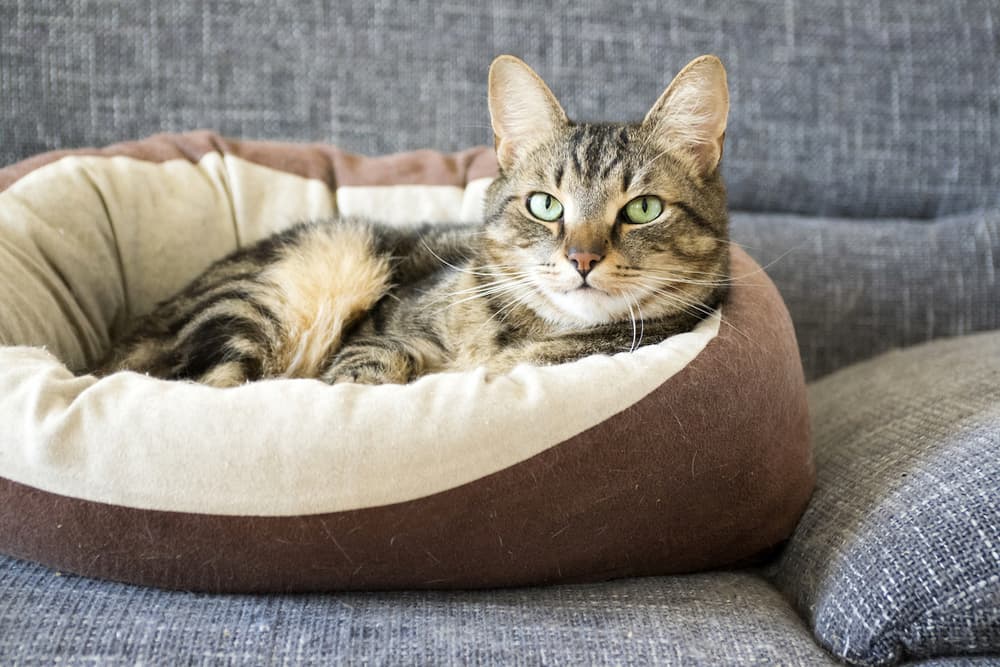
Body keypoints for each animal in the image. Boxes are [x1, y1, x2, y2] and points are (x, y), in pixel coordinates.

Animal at [97, 54, 732, 388]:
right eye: (545, 205)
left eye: (643, 209)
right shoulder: (381, 333)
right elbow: (375, 363)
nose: (581, 258)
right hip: (287, 287)